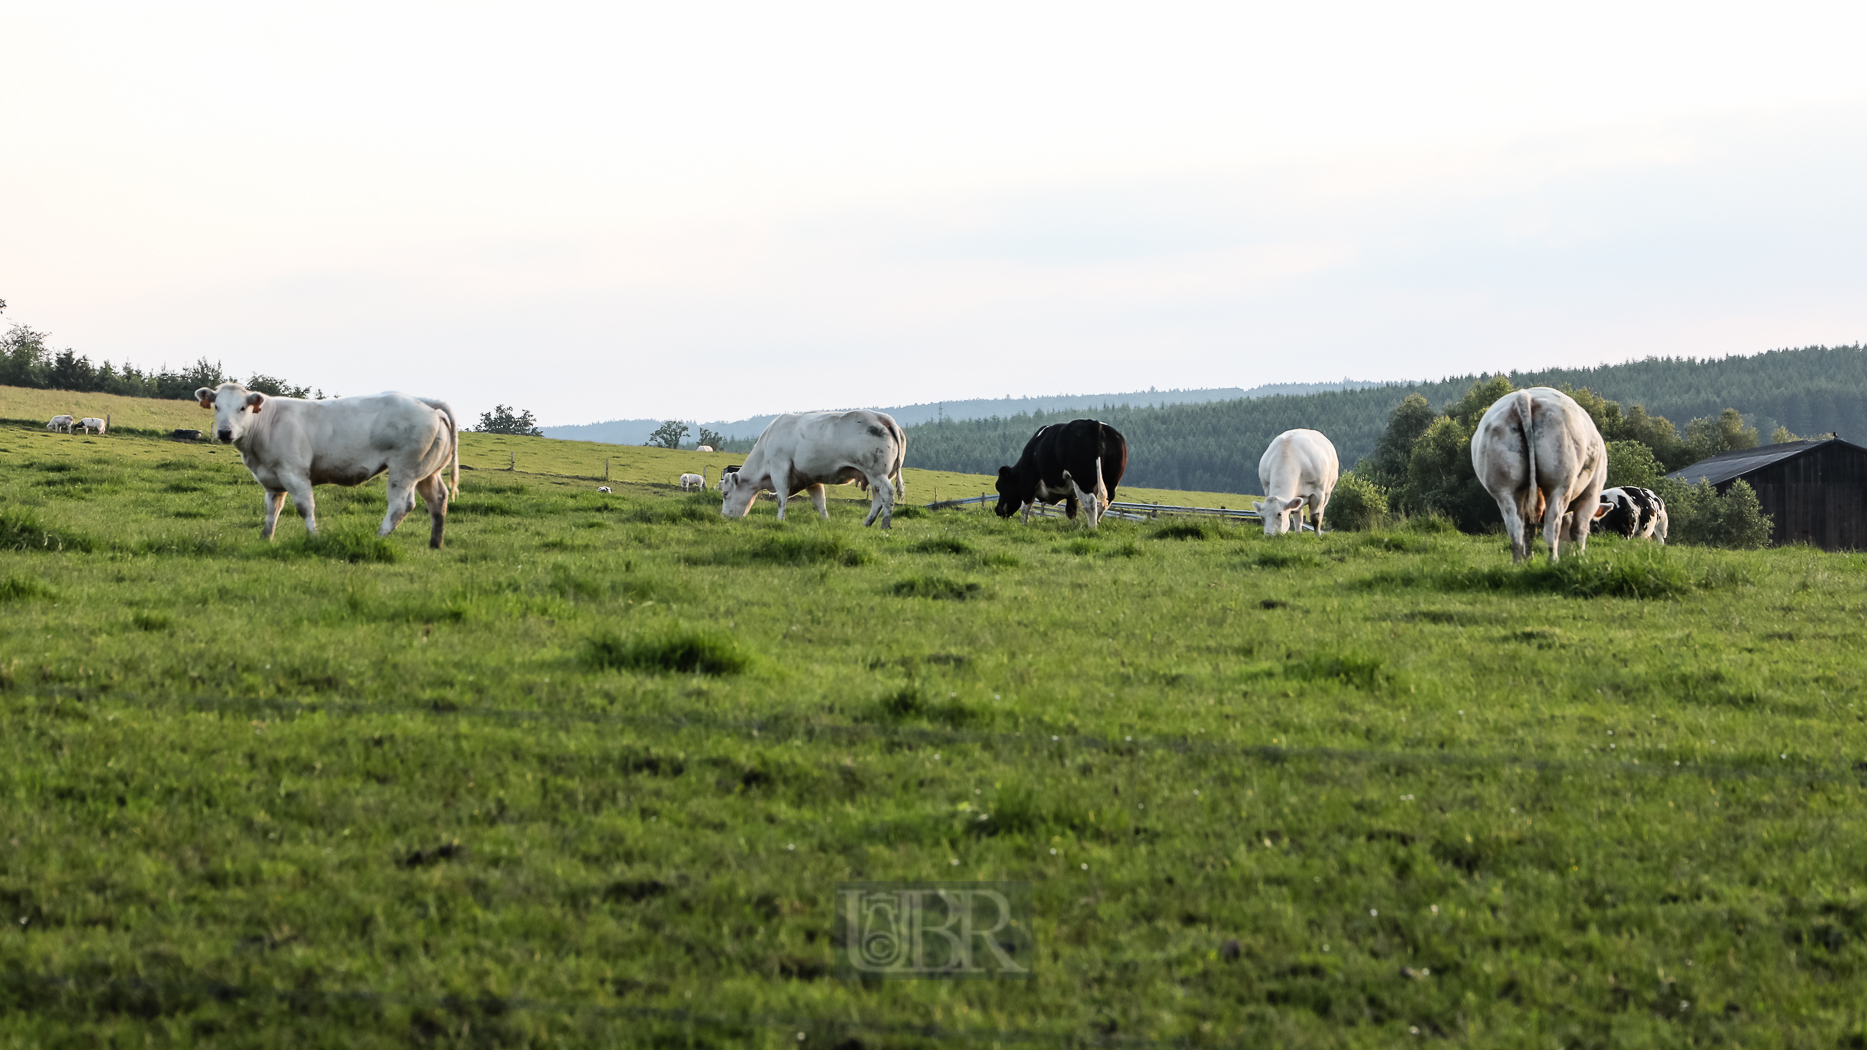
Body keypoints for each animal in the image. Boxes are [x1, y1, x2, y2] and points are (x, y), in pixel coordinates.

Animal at [193, 383, 463, 549]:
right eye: (217, 406)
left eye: (242, 407)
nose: (224, 432)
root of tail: (424, 402)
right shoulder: (272, 480)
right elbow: (272, 510)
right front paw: (265, 539)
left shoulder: (295, 474)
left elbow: (305, 508)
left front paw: (313, 538)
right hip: (427, 472)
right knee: (438, 498)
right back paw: (435, 543)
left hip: (403, 469)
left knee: (400, 506)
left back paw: (378, 537)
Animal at [716, 409, 907, 523]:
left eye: (725, 493)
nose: (723, 516)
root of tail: (881, 417)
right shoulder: (811, 479)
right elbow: (819, 501)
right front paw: (826, 521)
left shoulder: (780, 469)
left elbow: (781, 498)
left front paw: (780, 520)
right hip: (875, 477)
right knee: (878, 500)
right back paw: (867, 523)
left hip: (877, 474)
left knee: (887, 494)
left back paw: (884, 524)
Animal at [1463, 384, 1613, 560]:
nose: (1568, 555)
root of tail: (1525, 396)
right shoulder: (1591, 493)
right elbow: (1579, 530)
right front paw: (1581, 558)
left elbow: (1529, 530)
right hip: (1558, 486)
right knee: (1551, 528)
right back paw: (1553, 560)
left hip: (1504, 489)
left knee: (1516, 530)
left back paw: (1519, 562)